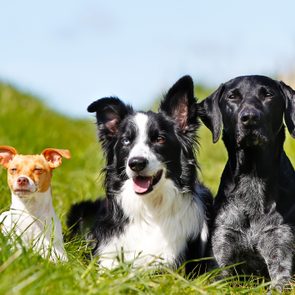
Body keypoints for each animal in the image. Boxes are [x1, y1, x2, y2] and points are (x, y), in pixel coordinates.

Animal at [199, 75, 295, 292]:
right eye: (232, 96)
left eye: (268, 94)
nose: (250, 117)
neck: (252, 175)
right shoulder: (222, 250)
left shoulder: (281, 248)